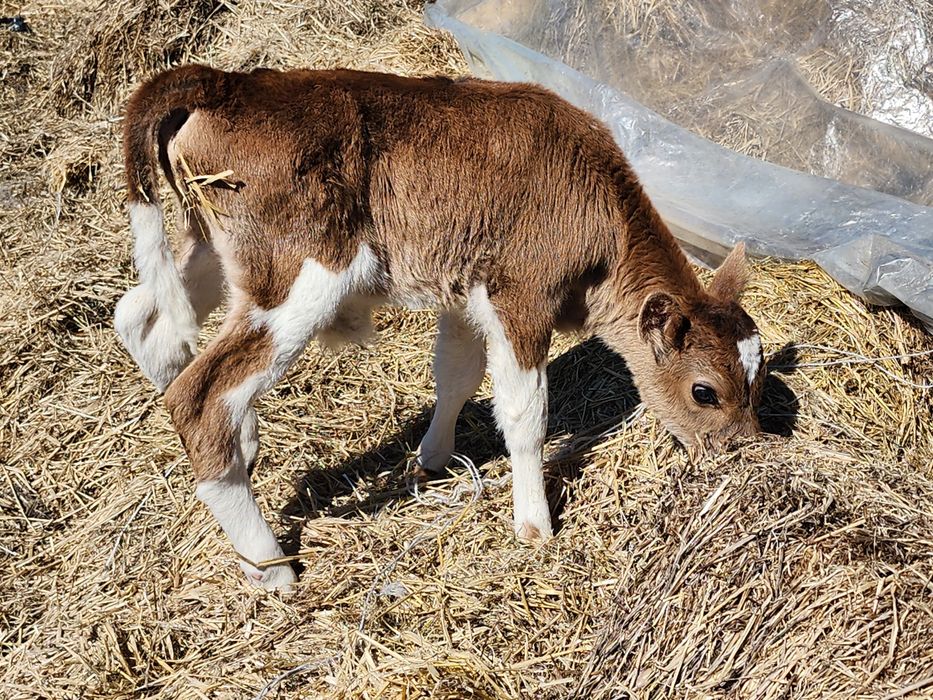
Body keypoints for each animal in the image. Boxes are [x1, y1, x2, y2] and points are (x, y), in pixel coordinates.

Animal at [115, 65, 765, 590]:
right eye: (704, 392)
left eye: (754, 385)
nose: (745, 451)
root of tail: (231, 81)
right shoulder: (521, 295)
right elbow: (526, 413)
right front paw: (535, 525)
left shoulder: (465, 291)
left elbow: (457, 373)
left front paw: (434, 455)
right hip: (300, 272)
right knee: (202, 395)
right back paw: (269, 566)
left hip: (217, 249)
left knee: (144, 320)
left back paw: (242, 442)